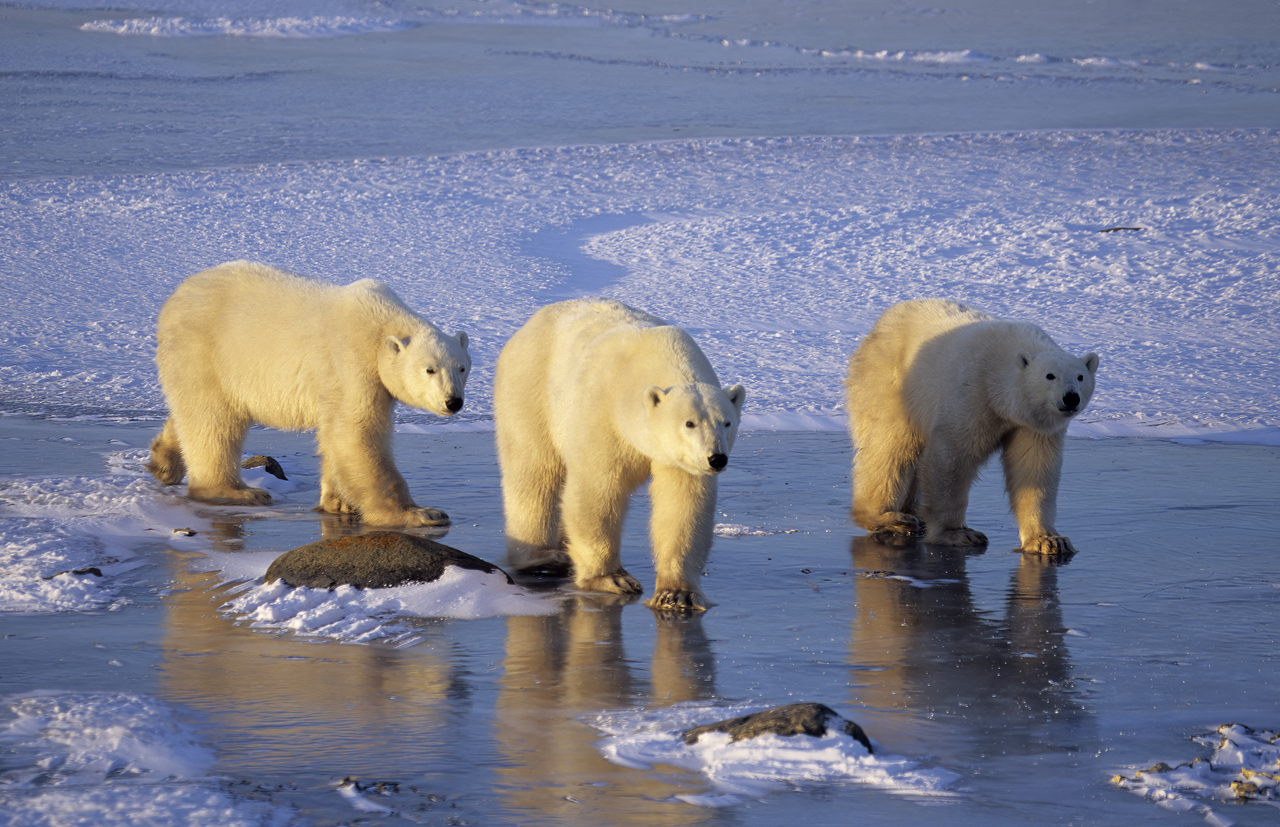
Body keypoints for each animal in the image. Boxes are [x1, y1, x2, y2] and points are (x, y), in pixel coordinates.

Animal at [148, 262, 471, 527]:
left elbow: (335, 435)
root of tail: (177, 295)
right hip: (205, 349)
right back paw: (238, 492)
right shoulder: (350, 362)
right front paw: (422, 513)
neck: (380, 325)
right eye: (429, 369)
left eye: (462, 367)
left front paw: (338, 502)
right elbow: (356, 432)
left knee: (193, 412)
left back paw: (163, 462)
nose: (453, 401)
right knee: (214, 420)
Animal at [491, 298, 747, 609]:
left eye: (727, 422)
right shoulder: (602, 411)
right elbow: (598, 489)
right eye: (689, 423)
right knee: (534, 470)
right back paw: (543, 557)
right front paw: (612, 579)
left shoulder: (680, 461)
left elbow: (683, 504)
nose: (716, 458)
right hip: (531, 387)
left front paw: (677, 593)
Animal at [849, 299, 1100, 558]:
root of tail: (883, 321)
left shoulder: (1032, 427)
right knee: (891, 445)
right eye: (1050, 376)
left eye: (1080, 376)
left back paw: (912, 512)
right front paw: (958, 533)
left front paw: (1049, 540)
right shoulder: (973, 395)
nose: (1070, 398)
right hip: (892, 379)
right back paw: (889, 517)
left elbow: (1034, 468)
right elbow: (952, 458)